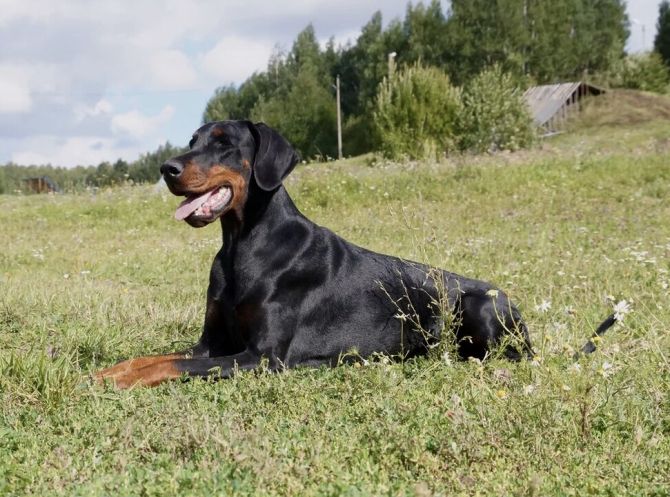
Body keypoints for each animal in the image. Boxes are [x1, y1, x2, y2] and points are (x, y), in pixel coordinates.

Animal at [96, 121, 615, 388]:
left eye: (223, 142)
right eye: (193, 141)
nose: (167, 168)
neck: (242, 244)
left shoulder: (261, 356)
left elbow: (174, 365)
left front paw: (118, 380)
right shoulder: (213, 343)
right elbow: (156, 357)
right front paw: (108, 371)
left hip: (479, 304)